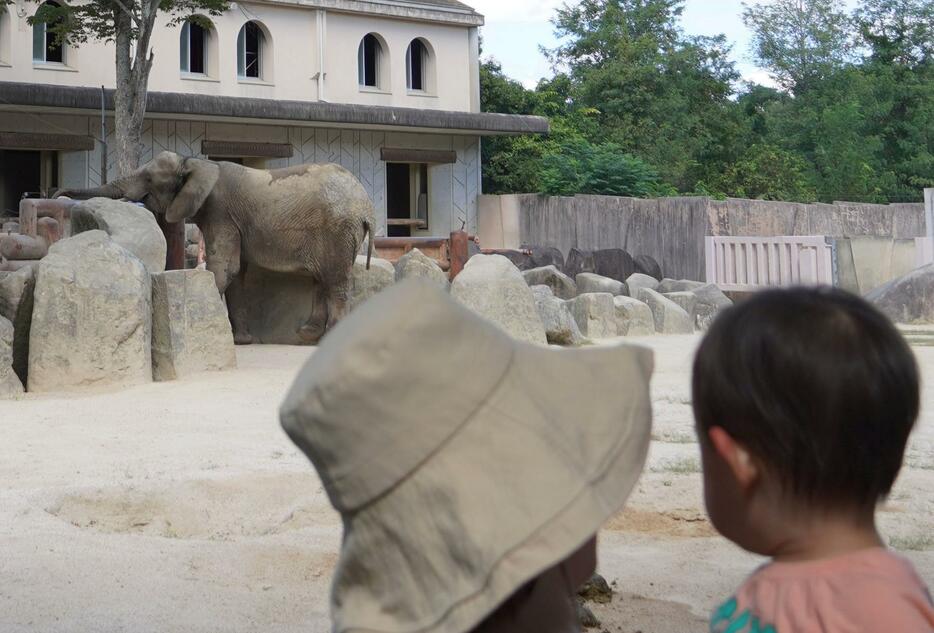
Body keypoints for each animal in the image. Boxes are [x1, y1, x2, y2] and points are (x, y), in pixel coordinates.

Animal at [58, 151, 376, 344]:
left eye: (149, 178)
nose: (58, 193)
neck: (195, 163)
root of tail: (366, 205)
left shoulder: (220, 211)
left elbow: (225, 267)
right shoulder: (234, 221)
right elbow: (238, 273)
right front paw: (241, 341)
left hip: (337, 229)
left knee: (335, 280)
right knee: (322, 278)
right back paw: (308, 334)